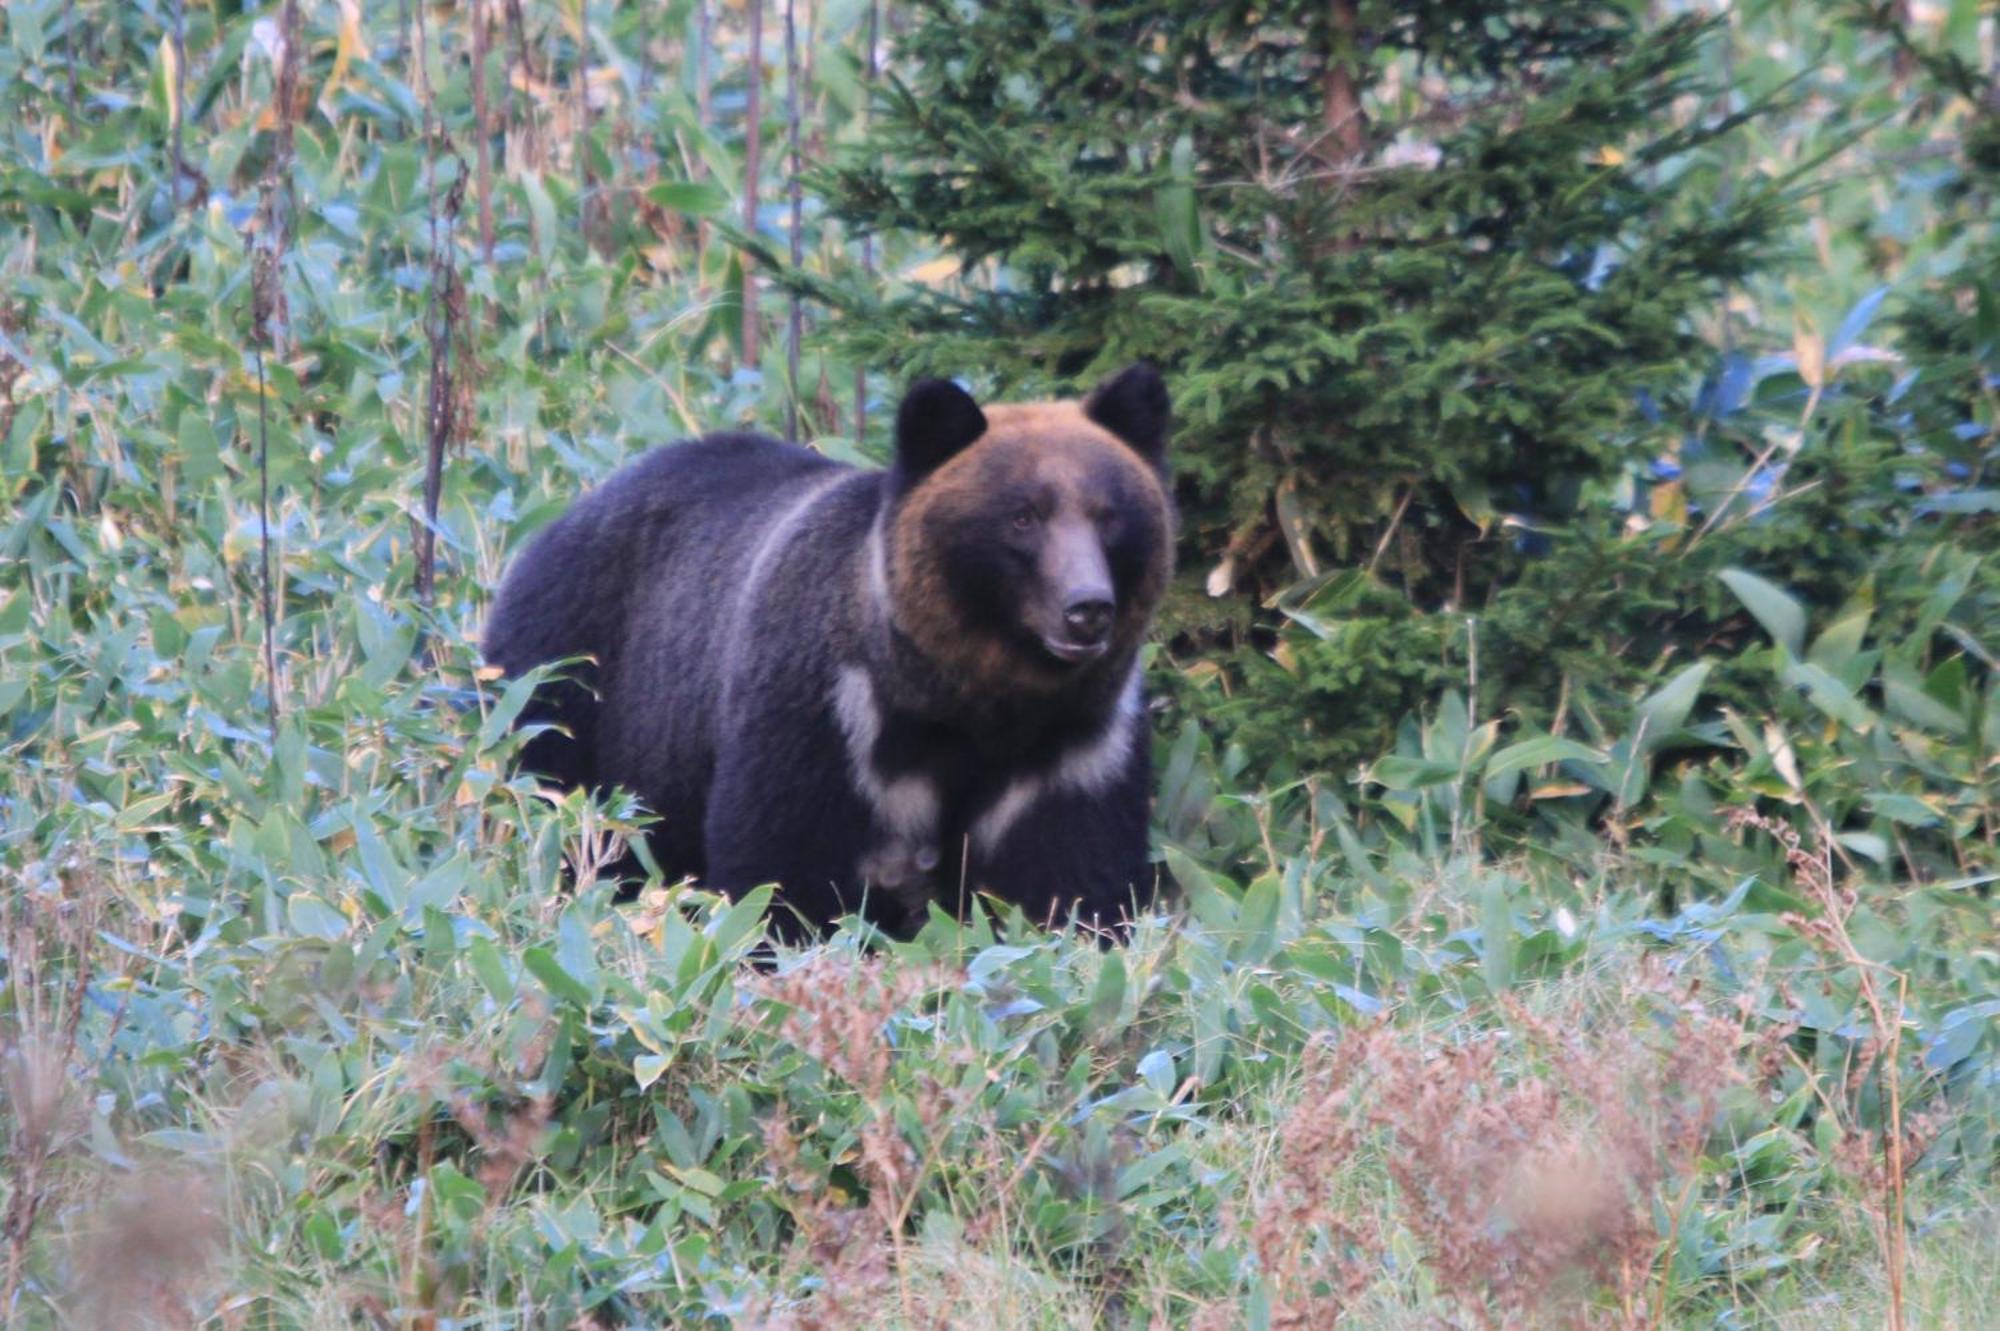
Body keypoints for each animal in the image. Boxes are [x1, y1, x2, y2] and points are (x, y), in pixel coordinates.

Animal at [480, 363, 1168, 931]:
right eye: (1022, 516)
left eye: (1109, 515)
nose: (1087, 609)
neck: (964, 700)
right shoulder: (825, 714)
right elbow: (784, 865)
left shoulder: (1074, 747)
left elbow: (1071, 873)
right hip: (568, 680)